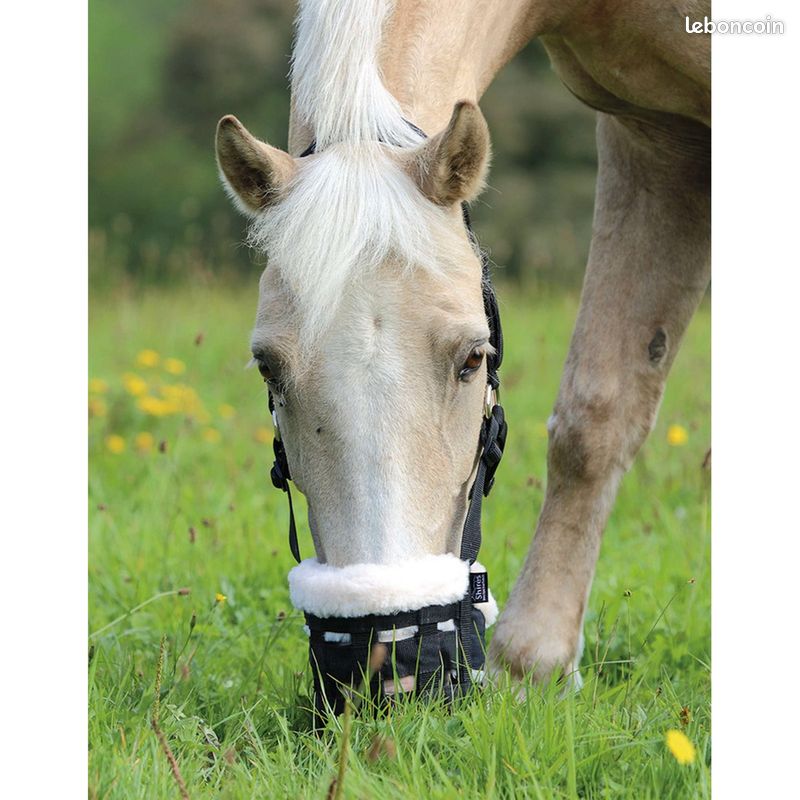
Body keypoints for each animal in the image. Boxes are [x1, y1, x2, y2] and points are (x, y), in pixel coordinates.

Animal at [215, 0, 710, 691]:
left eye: (474, 358)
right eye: (268, 370)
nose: (389, 665)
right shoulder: (653, 135)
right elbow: (595, 416)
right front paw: (533, 668)